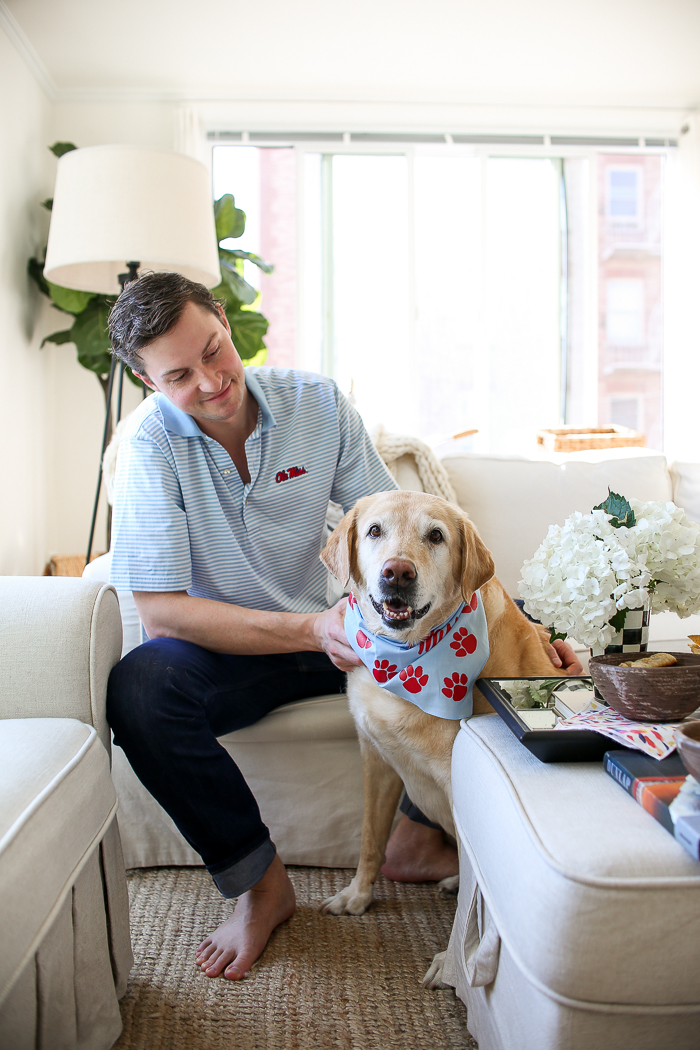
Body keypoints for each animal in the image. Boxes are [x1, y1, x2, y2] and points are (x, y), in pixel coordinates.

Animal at [321, 489, 554, 982]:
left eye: (436, 536)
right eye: (375, 531)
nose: (397, 572)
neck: (404, 657)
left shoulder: (459, 788)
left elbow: (471, 903)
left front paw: (450, 963)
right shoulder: (375, 759)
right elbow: (371, 838)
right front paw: (357, 896)